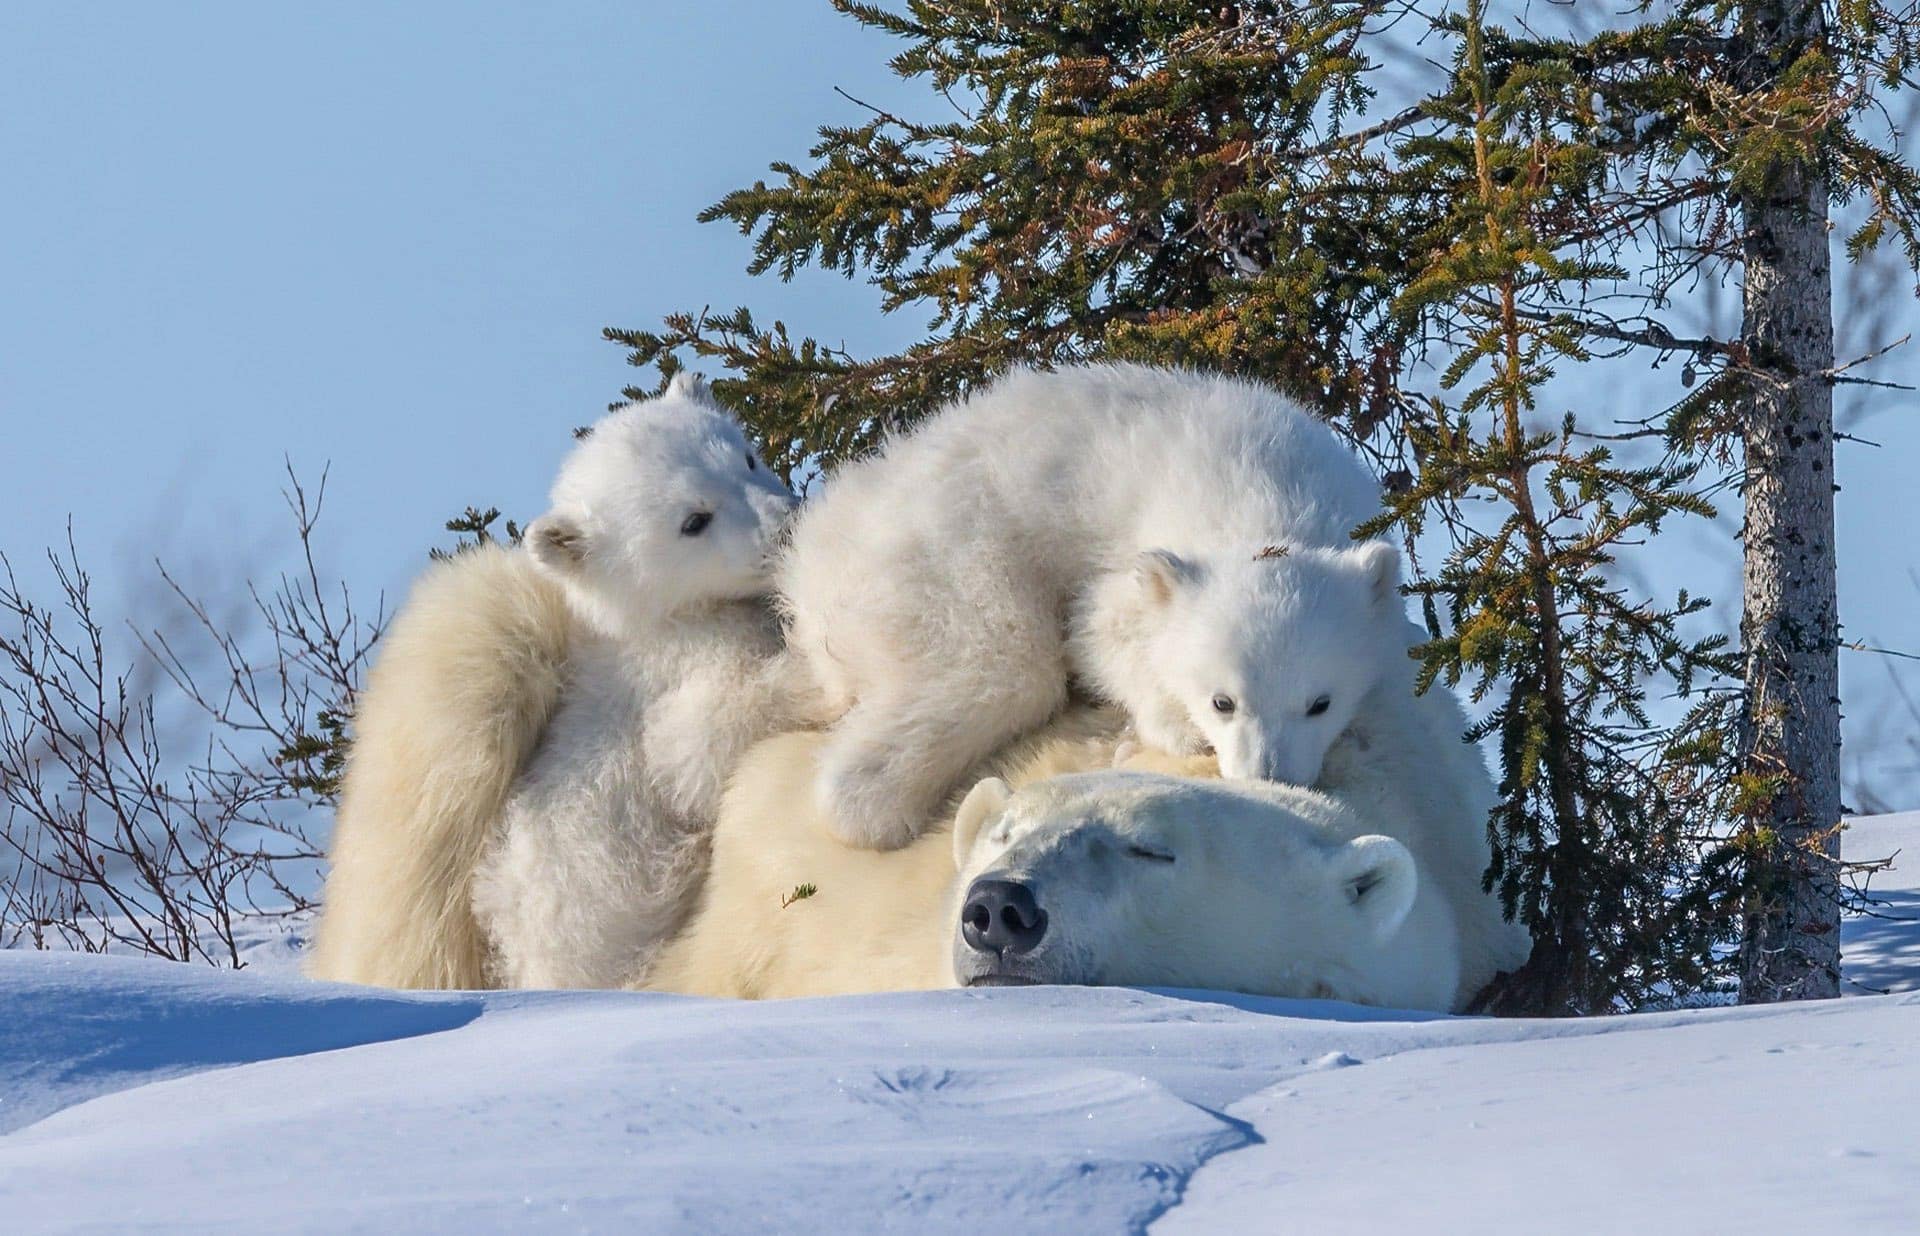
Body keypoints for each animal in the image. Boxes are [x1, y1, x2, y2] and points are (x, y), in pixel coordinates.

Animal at [783, 362, 1413, 855]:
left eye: (1320, 703)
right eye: (1222, 701)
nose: (1268, 777)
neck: (1269, 495)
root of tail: (815, 555)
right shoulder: (1141, 551)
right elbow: (1098, 632)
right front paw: (1177, 730)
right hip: (945, 553)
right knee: (1001, 666)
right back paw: (876, 809)